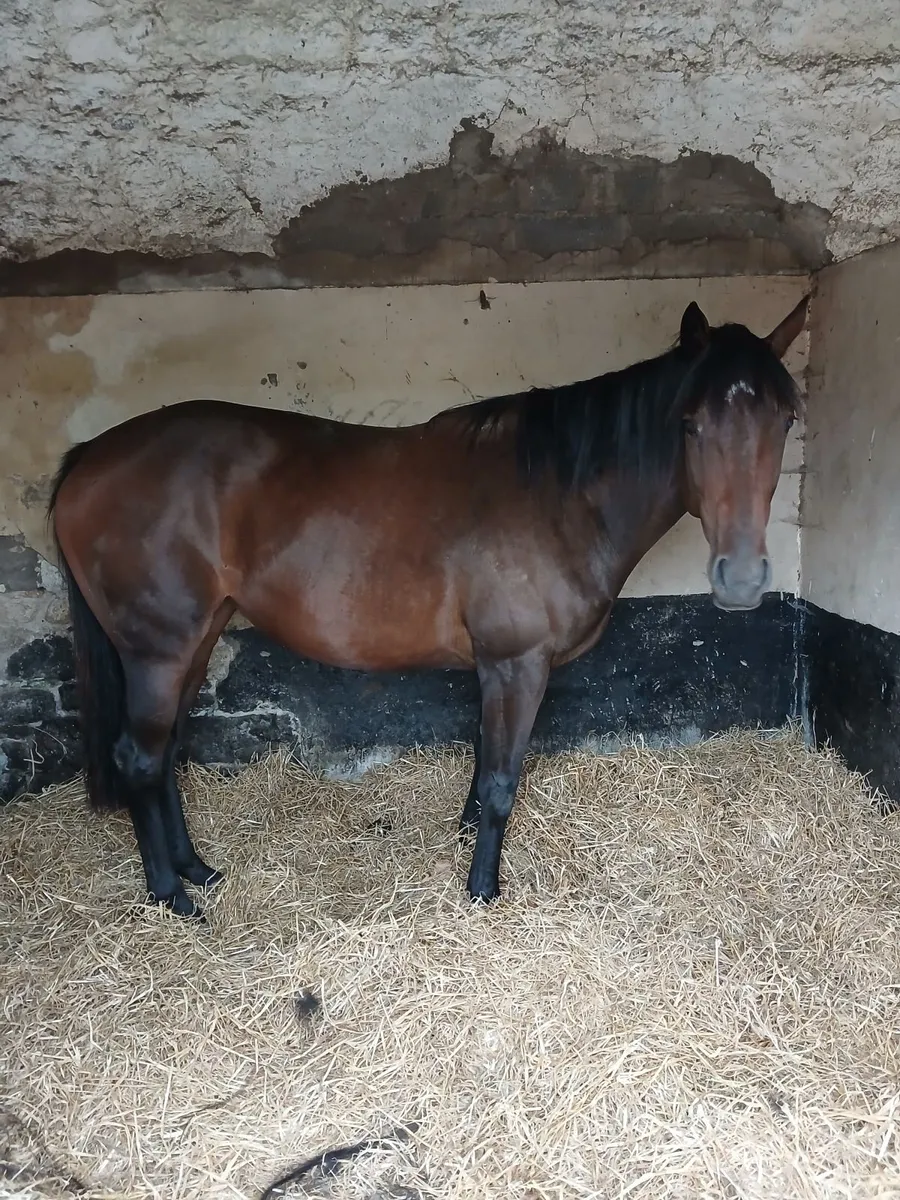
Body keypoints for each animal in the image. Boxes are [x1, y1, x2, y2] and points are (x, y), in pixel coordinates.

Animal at [48, 295, 808, 920]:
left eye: (785, 418)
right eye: (691, 423)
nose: (742, 578)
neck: (559, 496)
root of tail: (91, 456)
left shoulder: (495, 667)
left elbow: (483, 762)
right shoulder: (517, 664)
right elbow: (501, 779)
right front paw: (482, 891)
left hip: (199, 636)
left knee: (167, 752)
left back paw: (195, 870)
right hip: (158, 650)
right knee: (139, 759)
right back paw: (170, 895)